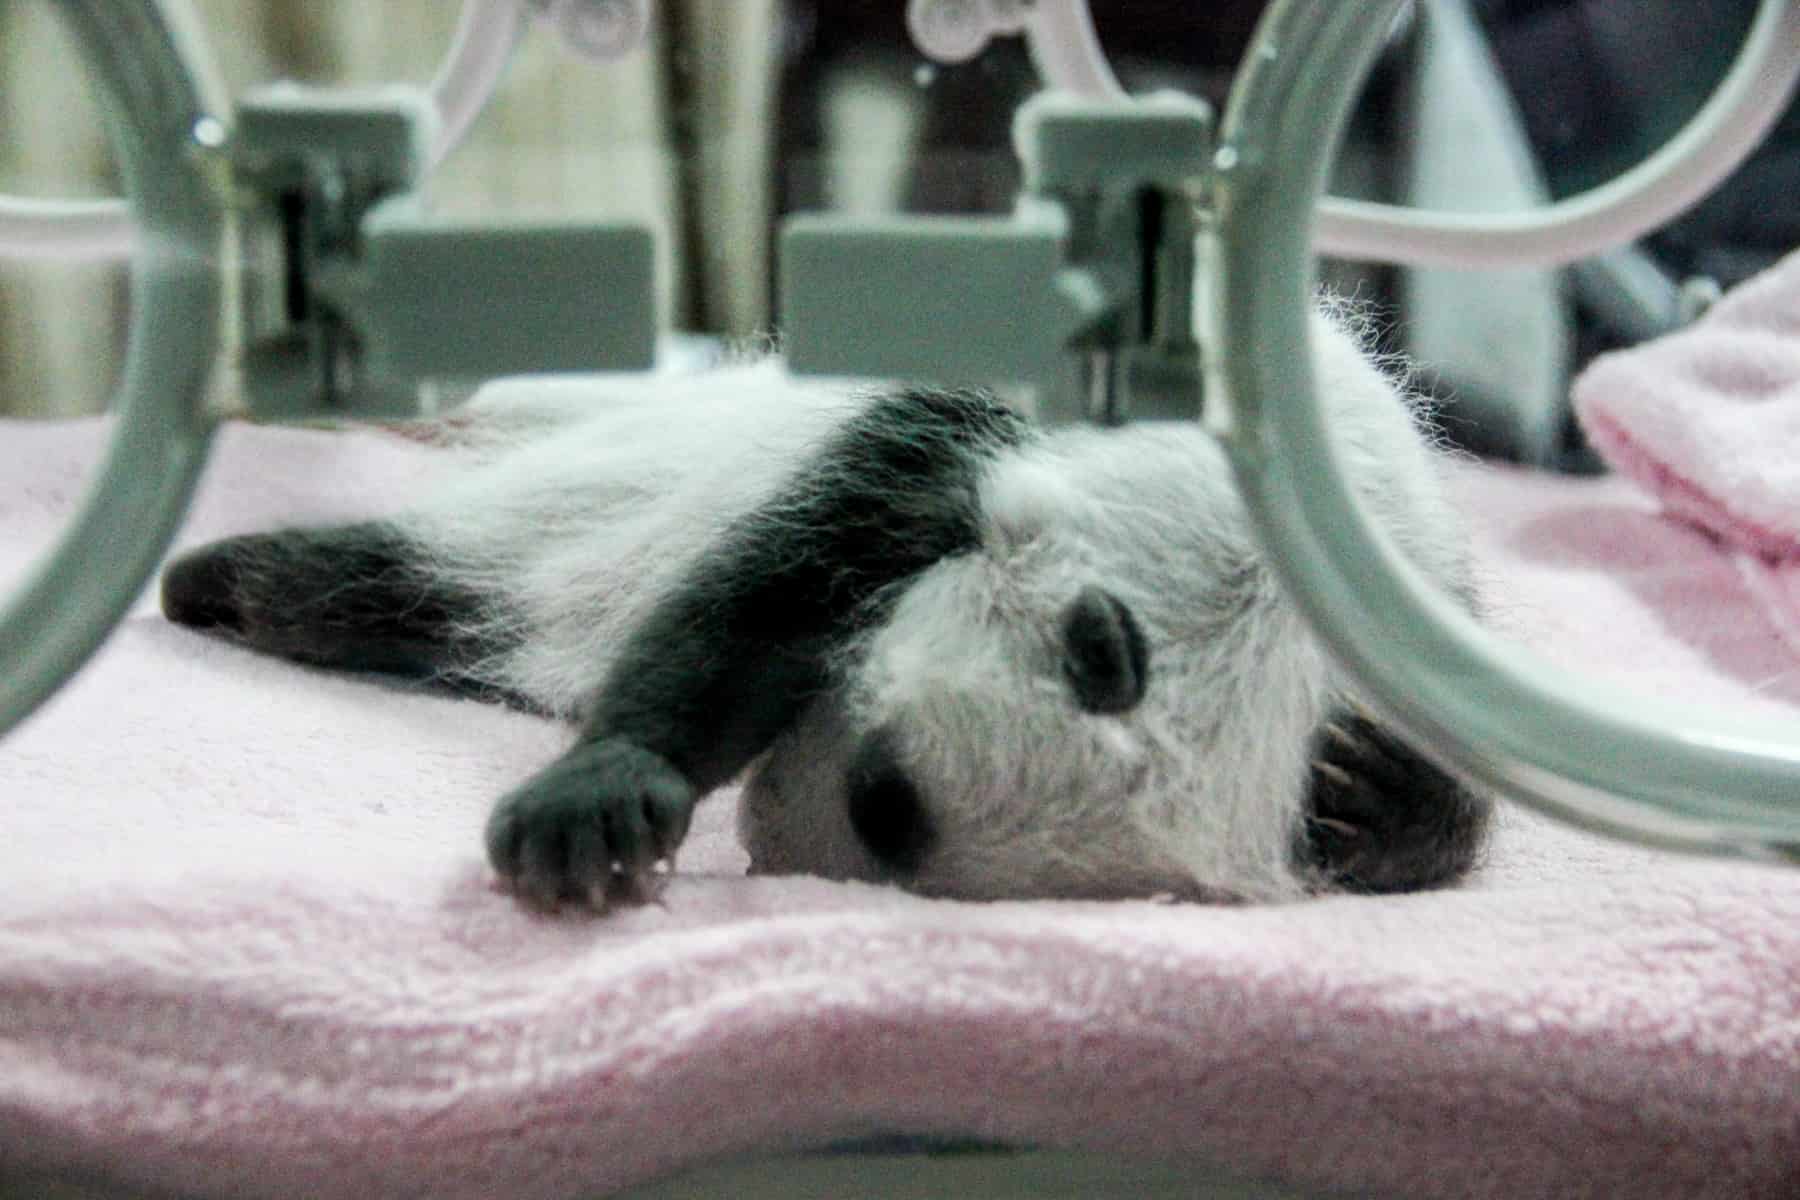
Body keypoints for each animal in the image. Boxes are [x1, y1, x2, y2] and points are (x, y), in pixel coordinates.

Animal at [165, 314, 1490, 906]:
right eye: (1095, 652)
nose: (867, 814)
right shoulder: (948, 431)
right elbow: (764, 599)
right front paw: (600, 803)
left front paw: (1369, 790)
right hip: (583, 488)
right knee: (389, 565)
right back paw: (217, 578)